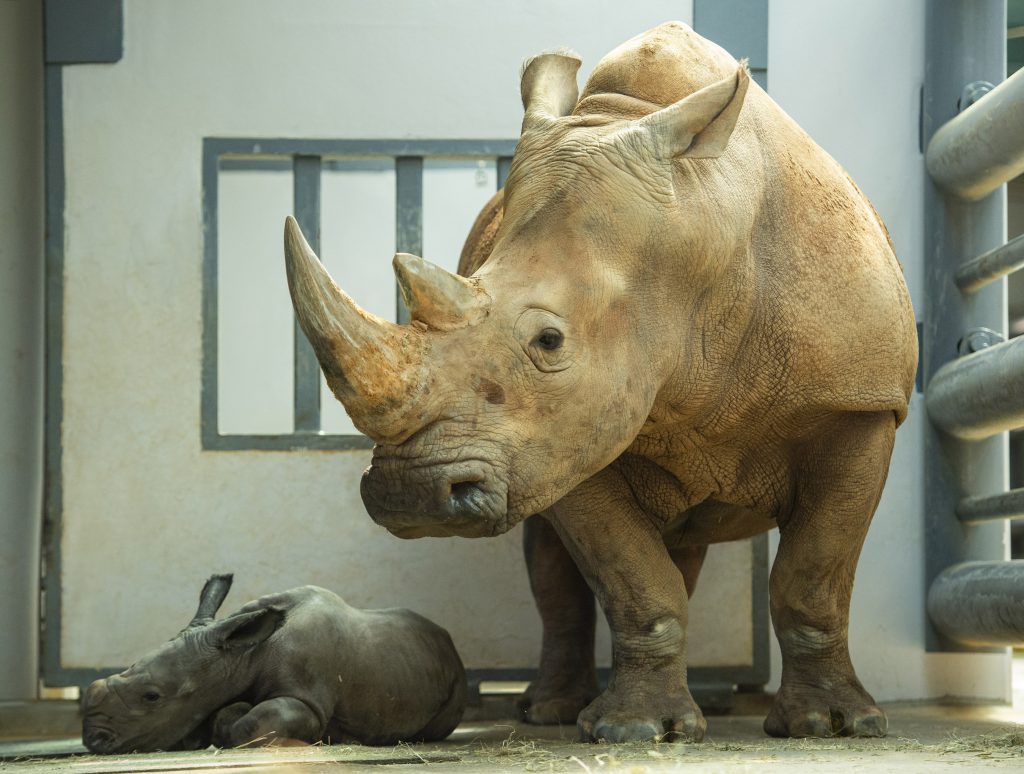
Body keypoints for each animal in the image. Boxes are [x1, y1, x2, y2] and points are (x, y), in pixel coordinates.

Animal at [81, 577, 466, 753]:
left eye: (152, 696)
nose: (92, 739)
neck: (242, 656)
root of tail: (449, 642)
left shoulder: (307, 703)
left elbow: (250, 723)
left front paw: (225, 725)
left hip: (454, 684)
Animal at [284, 22, 917, 745]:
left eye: (549, 341)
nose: (407, 494)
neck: (704, 224)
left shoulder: (860, 407)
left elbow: (813, 580)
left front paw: (832, 724)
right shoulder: (566, 437)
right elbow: (633, 578)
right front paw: (637, 731)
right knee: (562, 565)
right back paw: (553, 711)